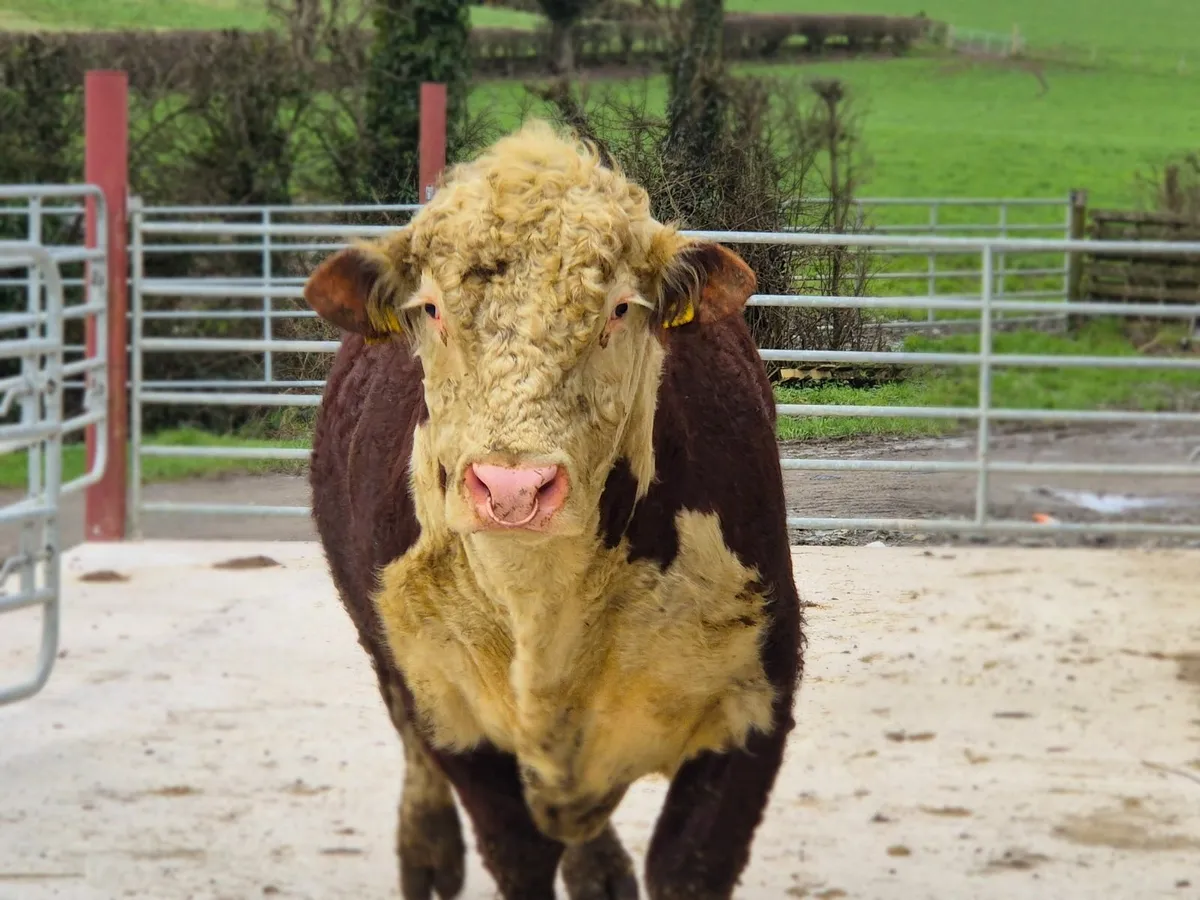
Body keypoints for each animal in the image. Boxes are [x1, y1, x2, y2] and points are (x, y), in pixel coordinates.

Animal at [305, 119, 805, 900]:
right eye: (432, 309)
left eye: (620, 309)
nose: (513, 489)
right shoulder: (453, 715)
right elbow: (517, 852)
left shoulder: (753, 701)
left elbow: (687, 866)